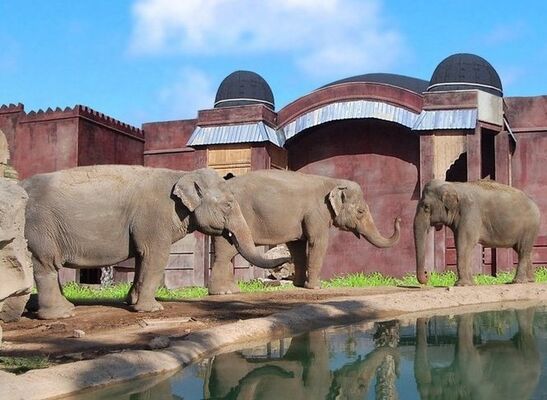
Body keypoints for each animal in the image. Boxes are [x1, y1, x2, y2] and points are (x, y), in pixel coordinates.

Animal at [23, 165, 288, 318]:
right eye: (228, 205)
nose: (284, 260)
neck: (180, 174)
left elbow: (143, 257)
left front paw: (133, 301)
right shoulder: (154, 215)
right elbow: (156, 255)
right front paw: (152, 309)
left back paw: (64, 308)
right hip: (39, 228)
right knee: (46, 265)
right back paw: (61, 314)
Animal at [208, 169, 400, 294]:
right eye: (360, 211)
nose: (398, 219)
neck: (333, 181)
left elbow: (298, 247)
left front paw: (299, 285)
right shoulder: (317, 212)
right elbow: (318, 242)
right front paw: (316, 287)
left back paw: (232, 290)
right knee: (226, 252)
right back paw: (221, 293)